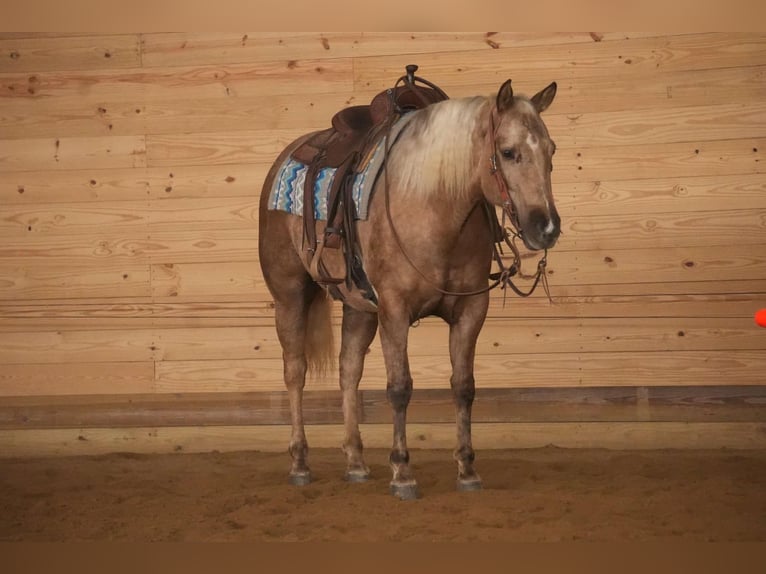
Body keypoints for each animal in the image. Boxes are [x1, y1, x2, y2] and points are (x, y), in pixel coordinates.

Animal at [260, 72, 560, 500]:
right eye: (508, 152)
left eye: (551, 150)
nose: (547, 227)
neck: (436, 205)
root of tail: (285, 156)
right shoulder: (395, 310)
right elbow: (399, 387)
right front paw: (402, 473)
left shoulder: (470, 311)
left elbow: (464, 386)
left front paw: (467, 469)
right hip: (290, 294)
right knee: (294, 371)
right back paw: (300, 463)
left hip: (358, 306)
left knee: (348, 370)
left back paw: (355, 462)